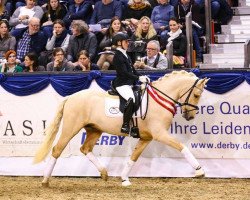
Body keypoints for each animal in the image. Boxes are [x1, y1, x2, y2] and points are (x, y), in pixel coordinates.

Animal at [33, 70, 209, 186]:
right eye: (196, 95)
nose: (190, 116)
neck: (159, 99)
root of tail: (70, 96)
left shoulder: (147, 137)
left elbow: (133, 157)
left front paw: (124, 179)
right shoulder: (160, 134)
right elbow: (182, 147)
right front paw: (199, 170)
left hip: (94, 130)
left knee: (85, 149)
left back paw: (104, 173)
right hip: (71, 128)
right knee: (57, 149)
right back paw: (45, 181)